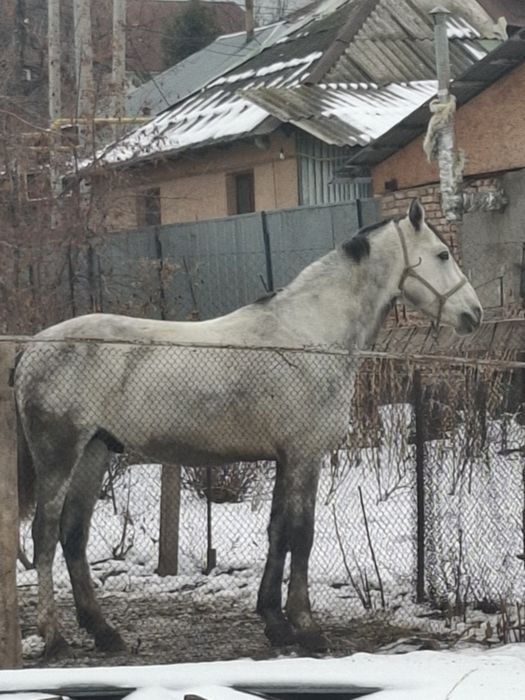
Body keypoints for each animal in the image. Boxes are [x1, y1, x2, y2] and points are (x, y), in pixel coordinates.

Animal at [15, 199, 482, 658]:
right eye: (442, 254)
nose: (473, 314)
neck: (308, 334)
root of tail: (31, 349)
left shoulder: (283, 458)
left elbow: (278, 532)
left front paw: (275, 624)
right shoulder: (305, 456)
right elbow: (302, 534)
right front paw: (307, 628)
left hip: (94, 453)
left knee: (74, 535)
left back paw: (105, 633)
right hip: (59, 456)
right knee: (44, 536)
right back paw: (54, 639)